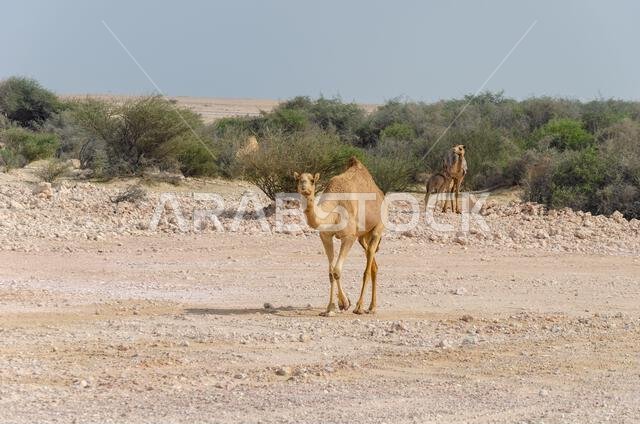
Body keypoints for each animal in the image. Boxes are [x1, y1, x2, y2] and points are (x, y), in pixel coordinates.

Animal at [294, 157, 385, 316]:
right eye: (299, 179)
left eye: (312, 180)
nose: (304, 188)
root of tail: (381, 194)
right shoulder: (325, 236)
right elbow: (331, 272)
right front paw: (330, 308)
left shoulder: (349, 236)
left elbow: (337, 271)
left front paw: (345, 303)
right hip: (362, 237)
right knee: (373, 263)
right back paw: (371, 307)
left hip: (377, 228)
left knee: (367, 267)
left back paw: (360, 307)